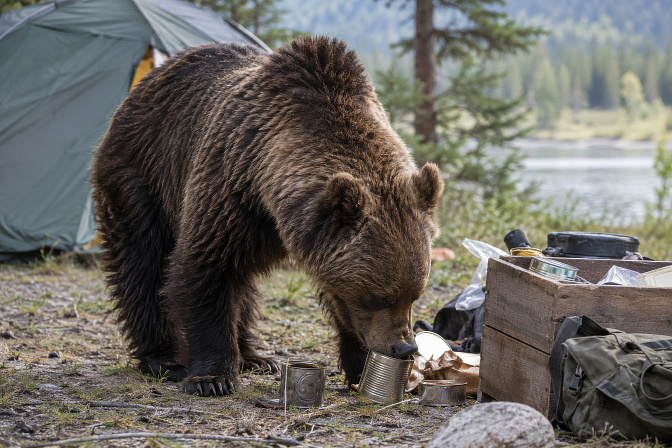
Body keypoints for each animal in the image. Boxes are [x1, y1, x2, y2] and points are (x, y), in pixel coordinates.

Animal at [90, 36, 444, 396]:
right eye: (379, 296)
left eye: (415, 293)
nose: (404, 347)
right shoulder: (229, 185)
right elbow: (204, 269)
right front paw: (213, 378)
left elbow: (341, 304)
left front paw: (361, 367)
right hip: (141, 174)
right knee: (143, 259)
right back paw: (164, 358)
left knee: (243, 282)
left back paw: (254, 356)